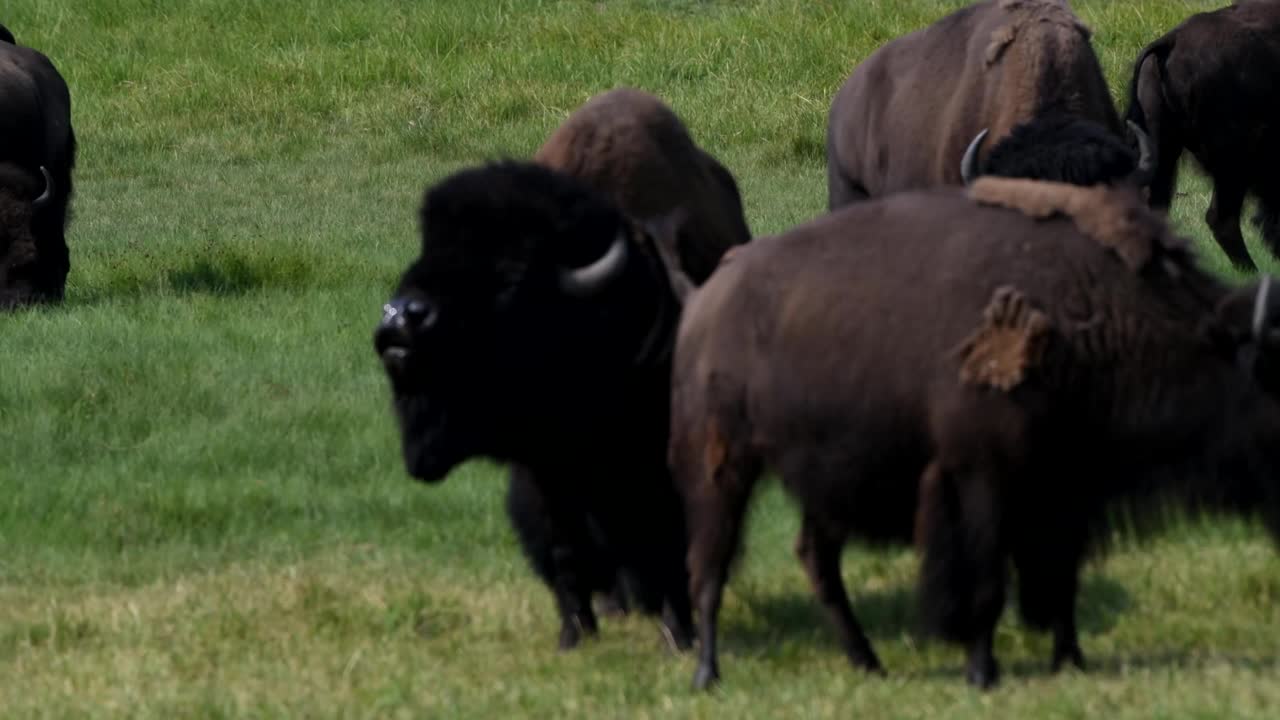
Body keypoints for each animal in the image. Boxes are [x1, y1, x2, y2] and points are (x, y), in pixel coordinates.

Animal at [371, 88, 747, 650]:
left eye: (510, 276)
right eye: (424, 252)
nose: (401, 320)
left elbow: (663, 543)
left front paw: (678, 635)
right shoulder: (543, 472)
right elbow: (564, 549)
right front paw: (575, 635)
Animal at [670, 176, 1280, 686]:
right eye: (1272, 382)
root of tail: (707, 295)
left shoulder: (1063, 494)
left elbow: (1061, 583)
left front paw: (1071, 661)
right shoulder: (981, 480)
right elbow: (985, 585)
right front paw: (983, 673)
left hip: (823, 484)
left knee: (816, 562)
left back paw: (869, 663)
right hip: (723, 463)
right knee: (710, 567)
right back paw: (707, 673)